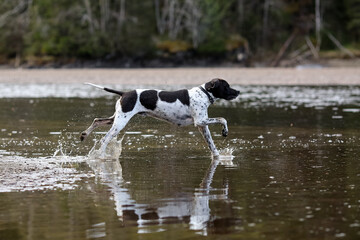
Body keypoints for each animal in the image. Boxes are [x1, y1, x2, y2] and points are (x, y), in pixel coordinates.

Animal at [80, 79, 240, 157]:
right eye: (226, 86)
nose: (238, 91)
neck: (204, 93)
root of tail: (124, 93)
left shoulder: (203, 126)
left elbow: (212, 146)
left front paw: (219, 157)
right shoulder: (200, 122)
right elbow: (223, 119)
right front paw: (225, 131)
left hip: (115, 119)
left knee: (97, 121)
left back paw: (84, 134)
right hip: (120, 122)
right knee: (105, 139)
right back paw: (101, 156)